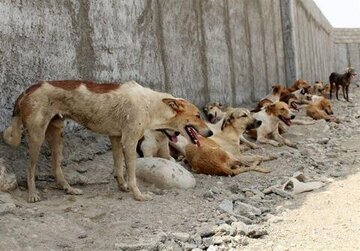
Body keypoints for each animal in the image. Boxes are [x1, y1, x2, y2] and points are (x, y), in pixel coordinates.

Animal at [2, 80, 212, 202]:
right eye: (197, 115)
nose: (210, 132)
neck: (150, 105)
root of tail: (27, 91)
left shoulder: (116, 138)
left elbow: (119, 169)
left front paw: (123, 187)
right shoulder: (129, 141)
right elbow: (132, 174)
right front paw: (138, 195)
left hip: (56, 135)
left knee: (56, 168)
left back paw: (69, 189)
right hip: (36, 137)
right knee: (30, 168)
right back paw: (32, 194)